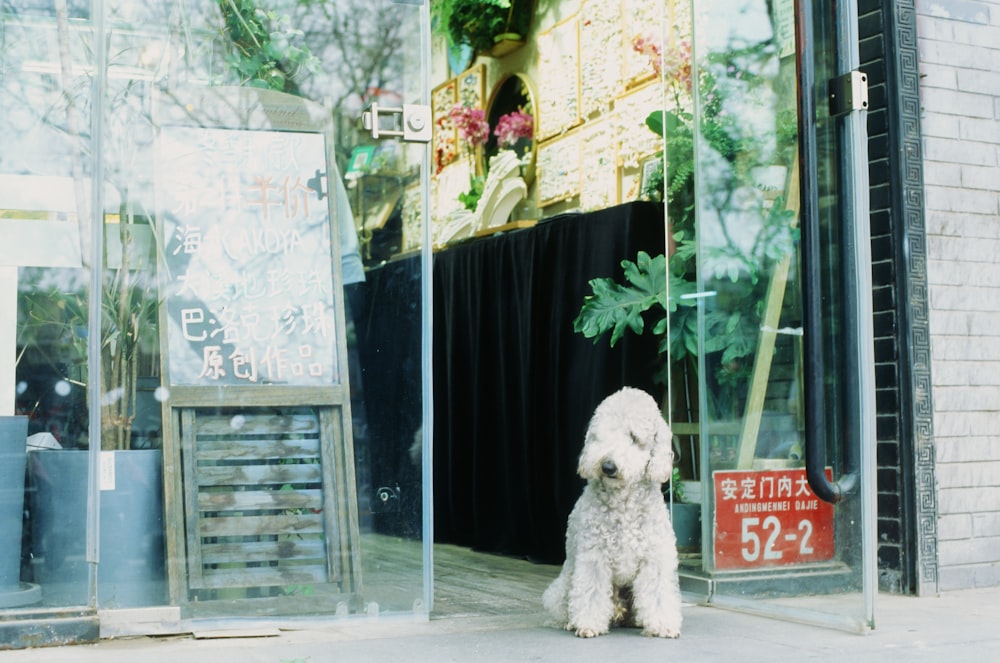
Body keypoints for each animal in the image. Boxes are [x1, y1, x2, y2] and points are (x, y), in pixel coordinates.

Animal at [544, 386, 684, 640]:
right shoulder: (594, 556)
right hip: (563, 584)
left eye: (634, 437)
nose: (608, 466)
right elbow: (591, 592)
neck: (623, 501)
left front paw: (663, 624)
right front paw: (588, 624)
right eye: (602, 434)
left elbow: (658, 594)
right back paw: (571, 621)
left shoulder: (654, 557)